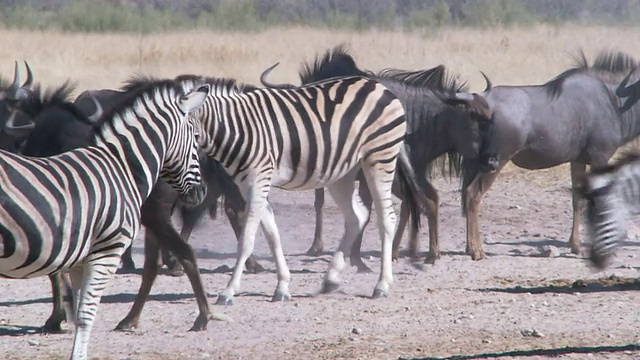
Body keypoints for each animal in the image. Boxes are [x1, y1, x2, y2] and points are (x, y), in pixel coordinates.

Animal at [0, 79, 208, 360]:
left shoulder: (72, 245)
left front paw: (60, 319)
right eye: (195, 138)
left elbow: (76, 303)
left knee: (169, 258)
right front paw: (62, 319)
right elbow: (80, 305)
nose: (201, 192)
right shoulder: (87, 243)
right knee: (170, 258)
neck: (121, 166)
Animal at [182, 74, 424, 306]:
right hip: (342, 172)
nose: (195, 194)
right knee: (357, 216)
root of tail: (379, 86)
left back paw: (381, 285)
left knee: (386, 218)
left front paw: (229, 291)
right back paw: (331, 279)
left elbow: (247, 240)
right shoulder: (249, 184)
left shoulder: (259, 179)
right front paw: (282, 286)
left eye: (191, 139)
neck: (238, 127)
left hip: (380, 157)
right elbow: (272, 234)